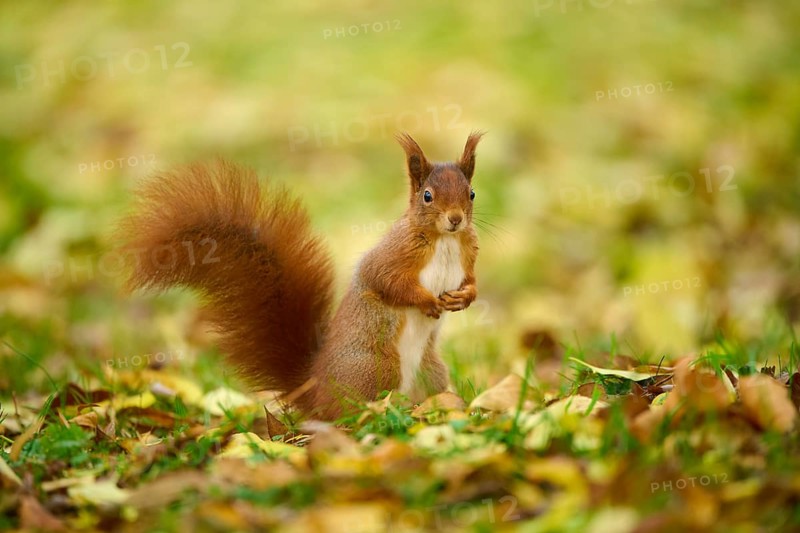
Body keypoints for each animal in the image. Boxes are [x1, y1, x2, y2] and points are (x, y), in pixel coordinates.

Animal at [117, 133, 483, 420]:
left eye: (472, 193)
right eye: (427, 196)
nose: (455, 219)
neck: (444, 240)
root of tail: (316, 389)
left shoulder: (467, 256)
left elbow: (471, 282)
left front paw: (464, 298)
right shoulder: (391, 257)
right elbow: (386, 282)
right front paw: (427, 301)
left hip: (431, 370)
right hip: (376, 368)